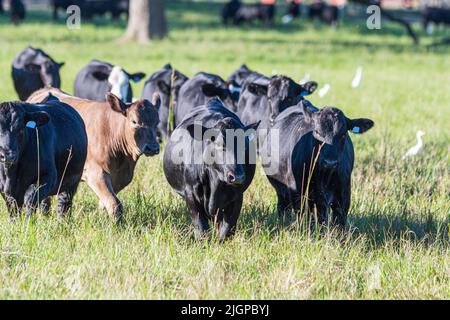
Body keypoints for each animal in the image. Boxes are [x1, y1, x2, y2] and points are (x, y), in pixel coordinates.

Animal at [28, 87, 160, 220]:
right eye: (134, 121)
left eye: (157, 122)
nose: (153, 147)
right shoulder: (95, 173)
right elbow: (114, 203)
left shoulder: (119, 179)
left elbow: (104, 203)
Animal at [163, 97, 258, 240]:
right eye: (219, 144)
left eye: (245, 145)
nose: (238, 177)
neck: (216, 183)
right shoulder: (190, 193)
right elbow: (201, 226)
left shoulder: (237, 196)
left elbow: (227, 229)